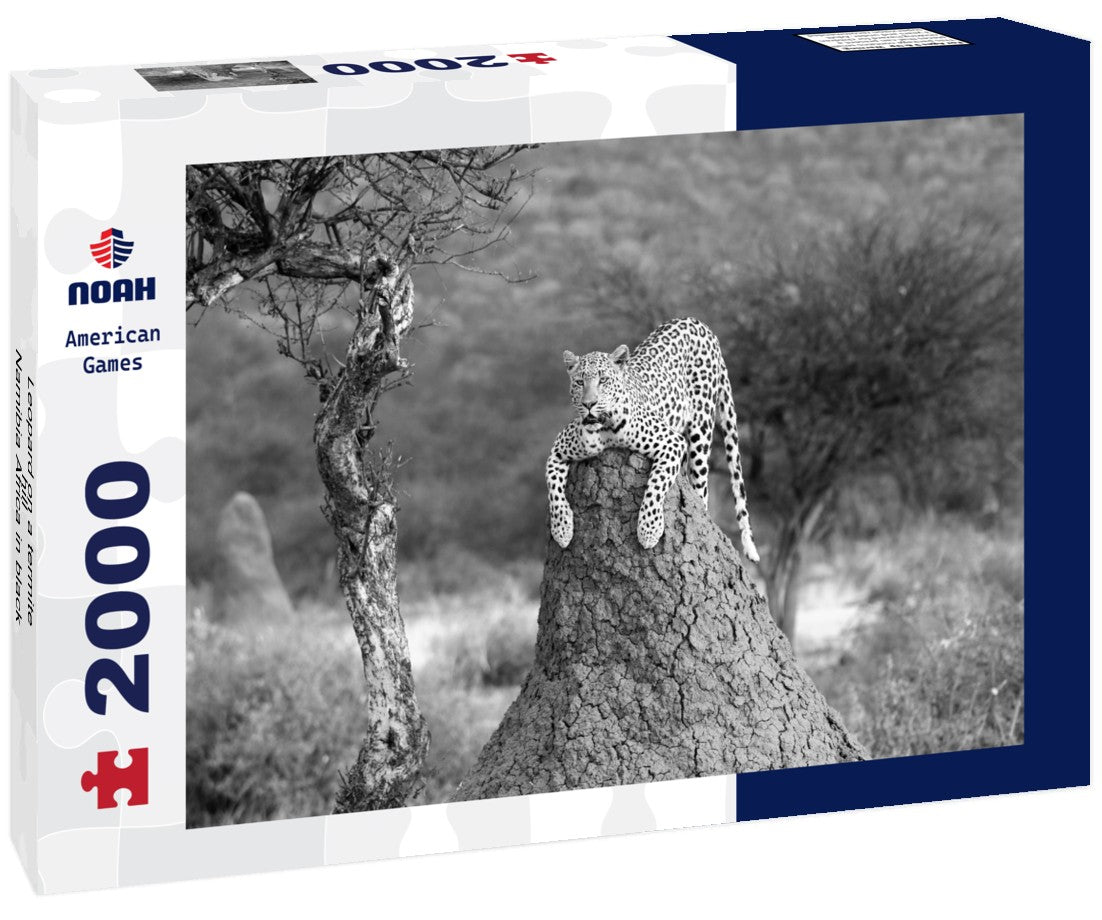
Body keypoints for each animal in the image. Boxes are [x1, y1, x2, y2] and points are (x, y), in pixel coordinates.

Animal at [546, 316, 760, 560]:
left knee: (701, 489)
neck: (603, 429)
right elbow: (554, 490)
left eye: (603, 380)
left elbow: (656, 485)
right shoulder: (557, 450)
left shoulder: (672, 442)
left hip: (701, 429)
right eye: (580, 382)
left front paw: (649, 531)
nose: (588, 404)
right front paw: (562, 530)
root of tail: (698, 322)